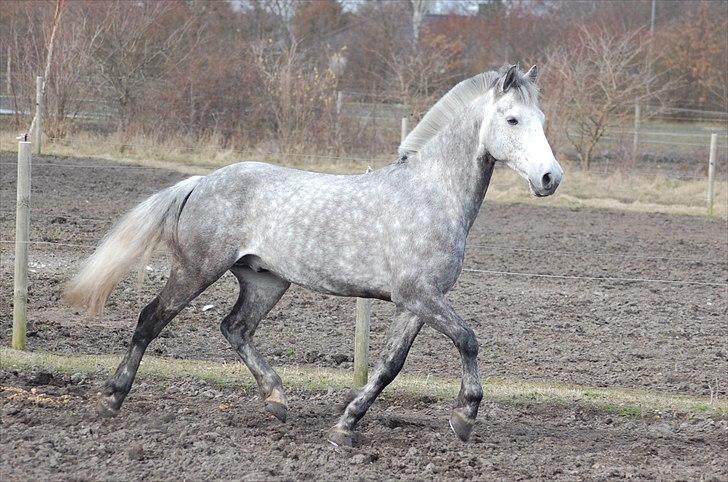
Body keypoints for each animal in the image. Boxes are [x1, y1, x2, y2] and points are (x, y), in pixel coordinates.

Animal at [65, 64, 563, 446]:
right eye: (513, 119)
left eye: (542, 117)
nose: (550, 178)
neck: (429, 195)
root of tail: (201, 182)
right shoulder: (417, 295)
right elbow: (468, 339)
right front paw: (464, 417)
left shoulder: (417, 303)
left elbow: (390, 366)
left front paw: (345, 427)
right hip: (196, 269)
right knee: (151, 318)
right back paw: (111, 399)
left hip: (266, 280)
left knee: (234, 327)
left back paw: (276, 400)